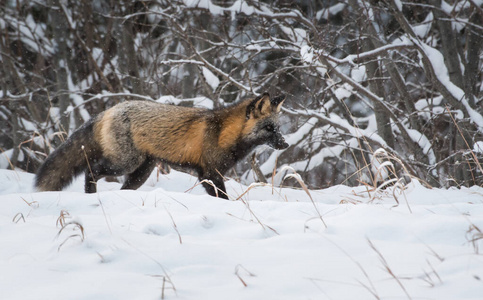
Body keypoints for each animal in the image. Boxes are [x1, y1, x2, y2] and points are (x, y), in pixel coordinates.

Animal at [36, 92, 292, 198]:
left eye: (278, 128)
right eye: (269, 128)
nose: (286, 144)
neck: (222, 134)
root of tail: (108, 110)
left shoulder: (212, 173)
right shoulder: (208, 173)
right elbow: (222, 198)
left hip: (141, 172)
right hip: (125, 163)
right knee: (91, 171)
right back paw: (90, 196)